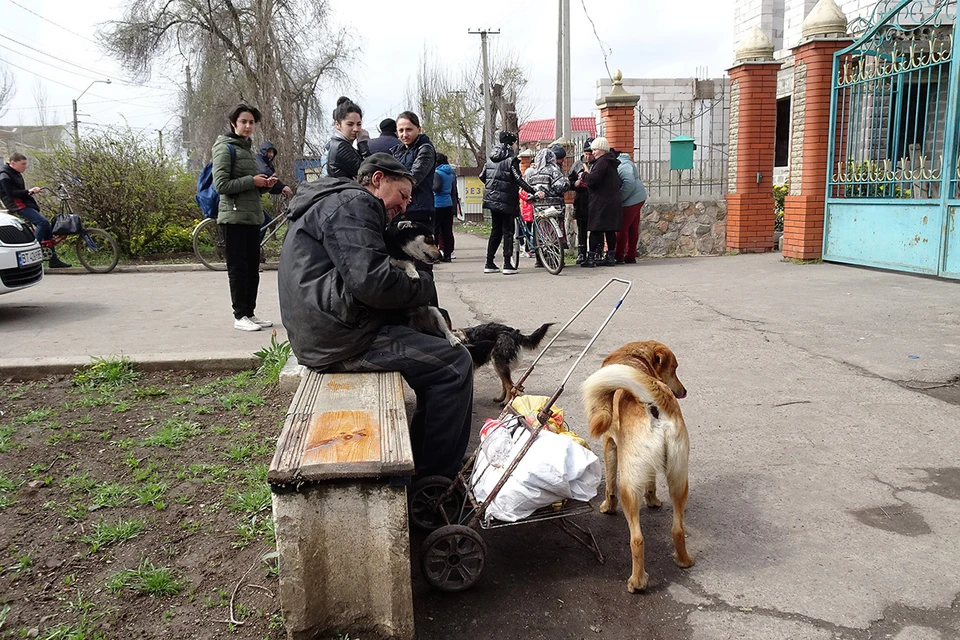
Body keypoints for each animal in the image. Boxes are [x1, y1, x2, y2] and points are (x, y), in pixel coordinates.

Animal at [580, 342, 692, 592]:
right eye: (675, 368)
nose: (684, 392)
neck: (636, 359)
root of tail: (655, 402)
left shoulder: (609, 444)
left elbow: (609, 486)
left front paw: (607, 507)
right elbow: (651, 483)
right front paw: (653, 500)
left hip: (628, 487)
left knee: (637, 539)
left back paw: (637, 582)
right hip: (679, 478)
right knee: (678, 529)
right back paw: (684, 560)